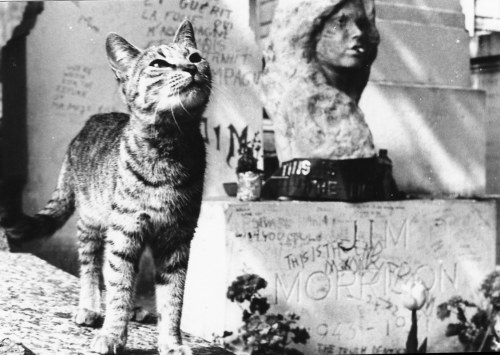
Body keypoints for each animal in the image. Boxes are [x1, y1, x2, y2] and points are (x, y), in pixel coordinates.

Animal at [4, 20, 210, 355]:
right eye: (158, 64)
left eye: (195, 56)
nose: (192, 68)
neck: (170, 145)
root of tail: (87, 124)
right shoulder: (125, 230)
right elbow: (118, 286)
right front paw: (113, 334)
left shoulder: (177, 237)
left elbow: (173, 299)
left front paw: (171, 343)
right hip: (92, 223)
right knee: (92, 268)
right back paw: (90, 308)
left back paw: (133, 310)